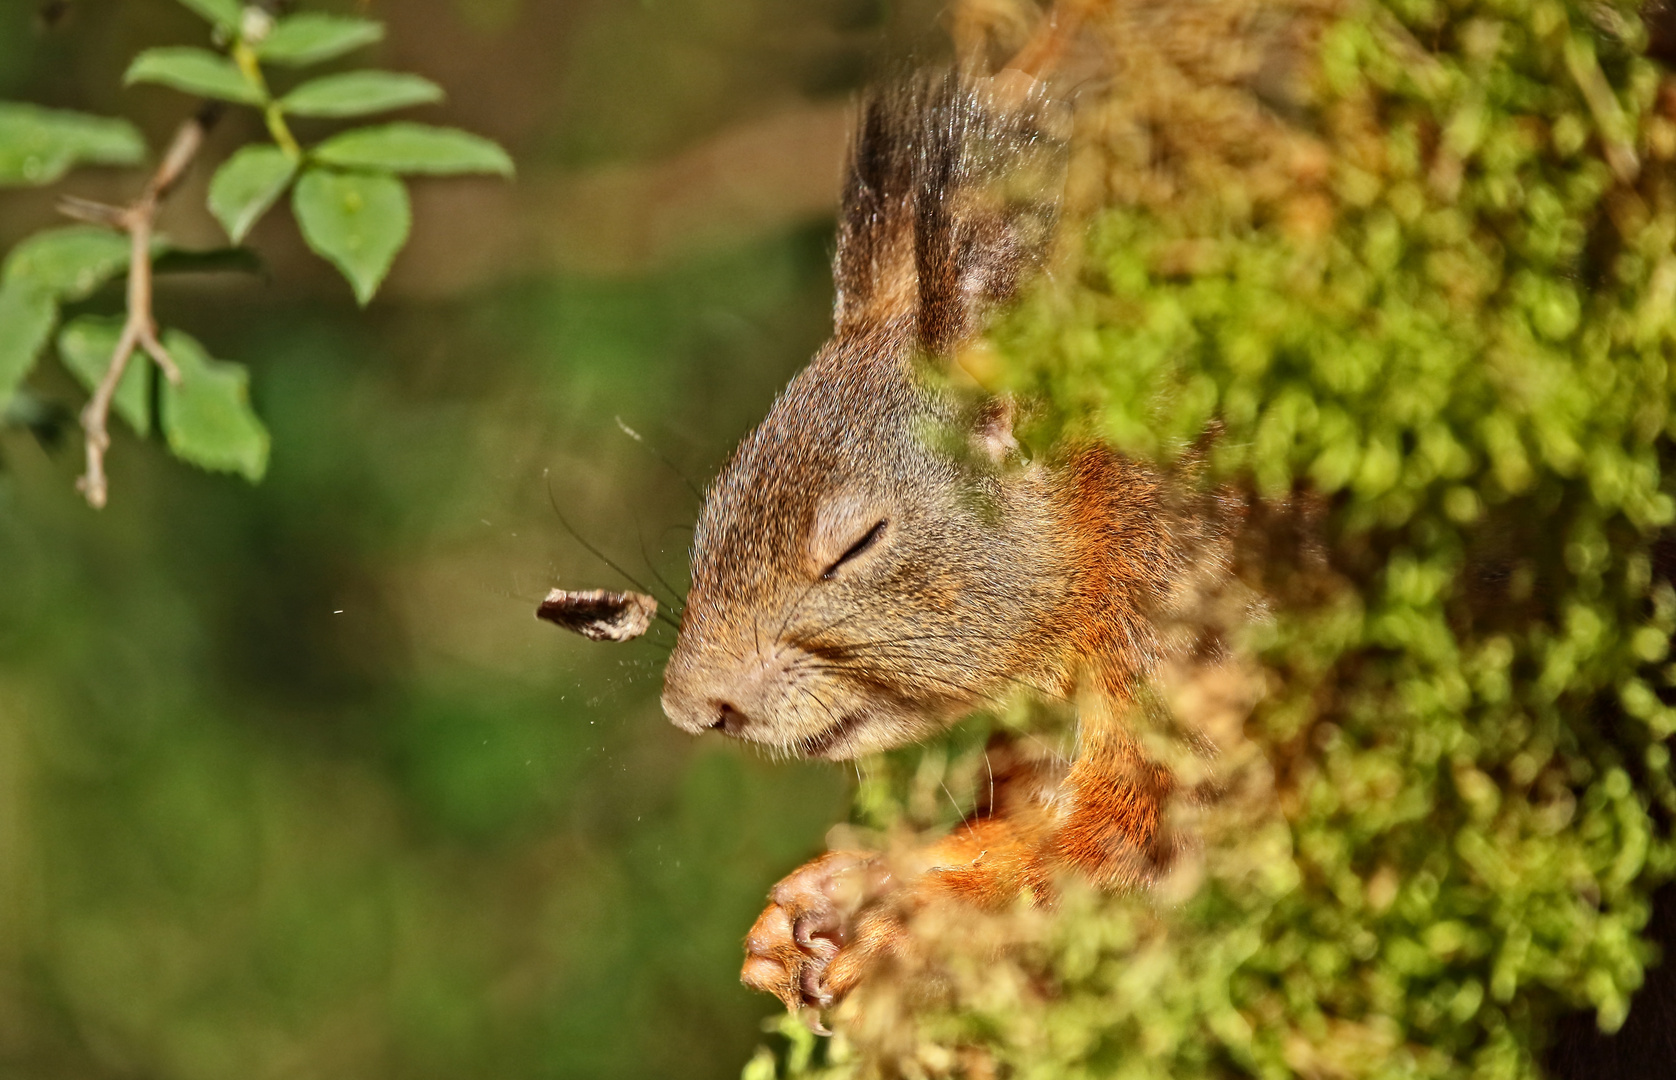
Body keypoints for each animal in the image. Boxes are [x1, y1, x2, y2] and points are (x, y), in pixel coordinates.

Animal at [653, 4, 1246, 1019]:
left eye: (856, 544)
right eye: (717, 503)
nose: (691, 704)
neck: (1099, 528)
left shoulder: (1182, 631)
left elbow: (1127, 845)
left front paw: (909, 919)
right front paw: (822, 898)